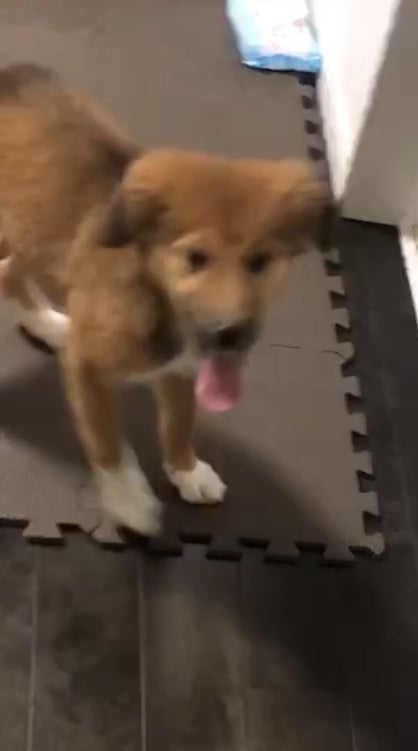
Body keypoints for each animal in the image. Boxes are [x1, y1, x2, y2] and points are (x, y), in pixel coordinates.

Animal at [0, 63, 330, 535]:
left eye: (261, 260)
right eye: (195, 258)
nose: (230, 334)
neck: (157, 298)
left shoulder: (182, 371)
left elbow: (179, 424)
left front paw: (186, 471)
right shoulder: (87, 368)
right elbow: (110, 446)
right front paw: (129, 501)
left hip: (28, 237)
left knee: (8, 272)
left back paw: (46, 323)